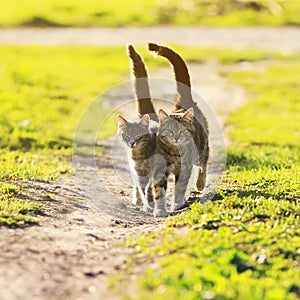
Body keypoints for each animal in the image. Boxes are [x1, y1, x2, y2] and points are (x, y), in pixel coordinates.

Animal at [115, 44, 158, 212]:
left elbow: (151, 187)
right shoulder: (138, 171)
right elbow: (141, 187)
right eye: (126, 135)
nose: (132, 143)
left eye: (139, 135)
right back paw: (137, 200)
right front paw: (145, 202)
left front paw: (151, 203)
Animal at [147, 42, 209, 217]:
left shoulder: (185, 167)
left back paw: (200, 184)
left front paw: (177, 205)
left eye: (182, 131)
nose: (176, 137)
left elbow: (180, 188)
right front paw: (160, 210)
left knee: (203, 164)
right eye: (169, 131)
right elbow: (159, 191)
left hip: (202, 149)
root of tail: (183, 104)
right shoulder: (159, 169)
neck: (174, 153)